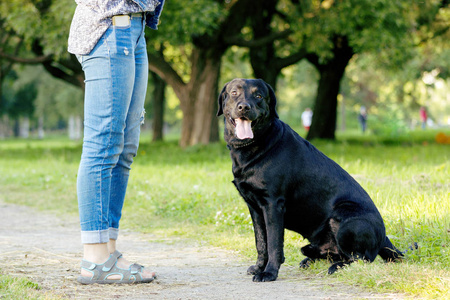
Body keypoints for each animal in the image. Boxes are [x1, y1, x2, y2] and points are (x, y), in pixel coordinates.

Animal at [218, 78, 408, 282]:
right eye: (234, 93)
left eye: (259, 96)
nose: (244, 106)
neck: (255, 145)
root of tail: (385, 236)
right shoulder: (254, 207)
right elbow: (261, 242)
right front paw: (259, 267)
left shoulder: (272, 204)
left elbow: (274, 243)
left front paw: (269, 272)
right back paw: (310, 260)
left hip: (346, 218)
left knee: (361, 258)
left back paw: (336, 267)